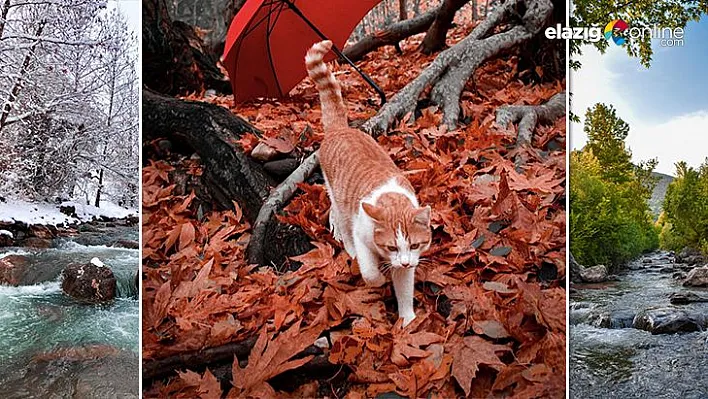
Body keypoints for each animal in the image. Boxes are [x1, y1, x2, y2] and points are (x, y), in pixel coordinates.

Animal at [306, 41, 432, 328]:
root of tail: (340, 129)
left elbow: (404, 288)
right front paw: (379, 278)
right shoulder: (364, 237)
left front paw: (407, 320)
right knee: (339, 220)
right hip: (338, 198)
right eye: (391, 247)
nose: (405, 263)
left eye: (415, 245)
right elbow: (369, 271)